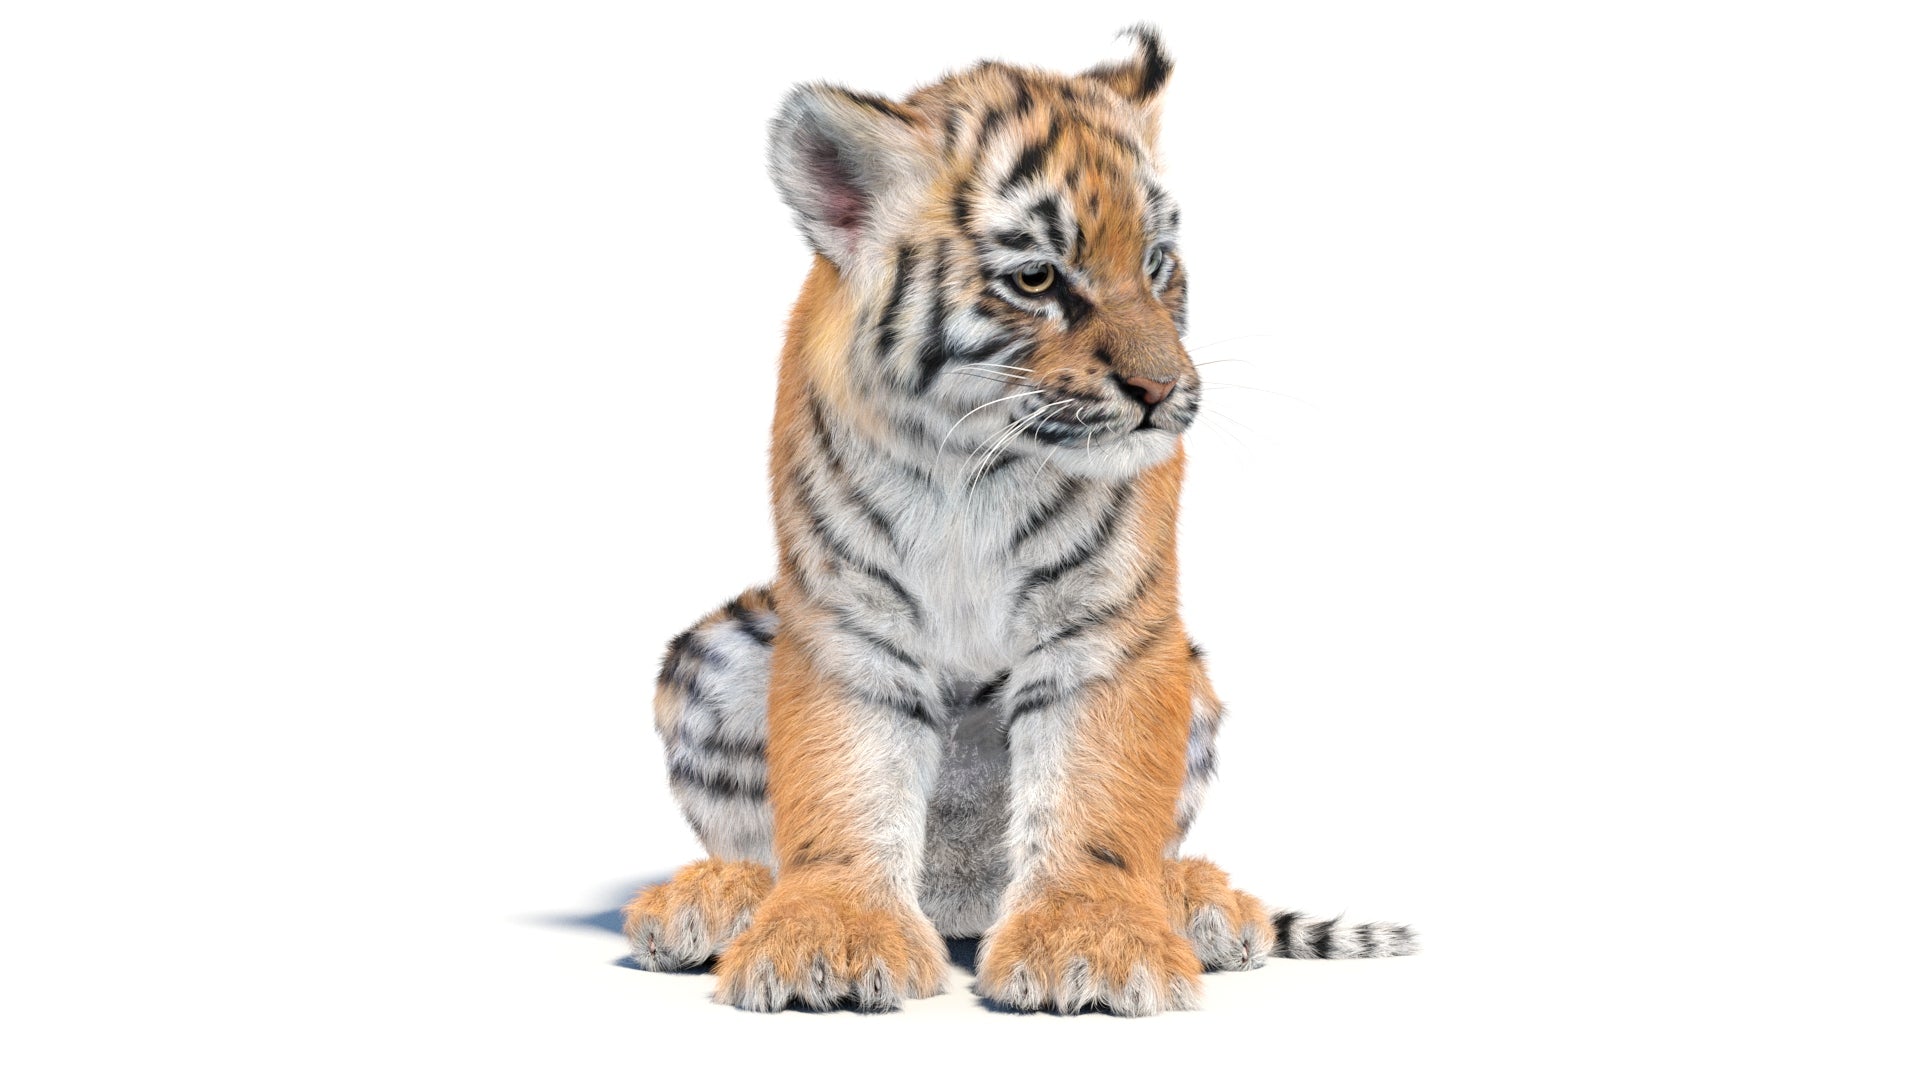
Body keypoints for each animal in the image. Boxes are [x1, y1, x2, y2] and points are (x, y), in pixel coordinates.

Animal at [622, 26, 1416, 1015]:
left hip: (1185, 671)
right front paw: (827, 946)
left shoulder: (1106, 629)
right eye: (1038, 277)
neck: (972, 462)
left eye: (1156, 261)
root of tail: (956, 896)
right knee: (759, 842)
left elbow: (1095, 796)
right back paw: (708, 900)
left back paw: (1201, 903)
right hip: (718, 645)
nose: (1164, 392)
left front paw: (1091, 946)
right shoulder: (849, 625)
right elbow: (844, 787)